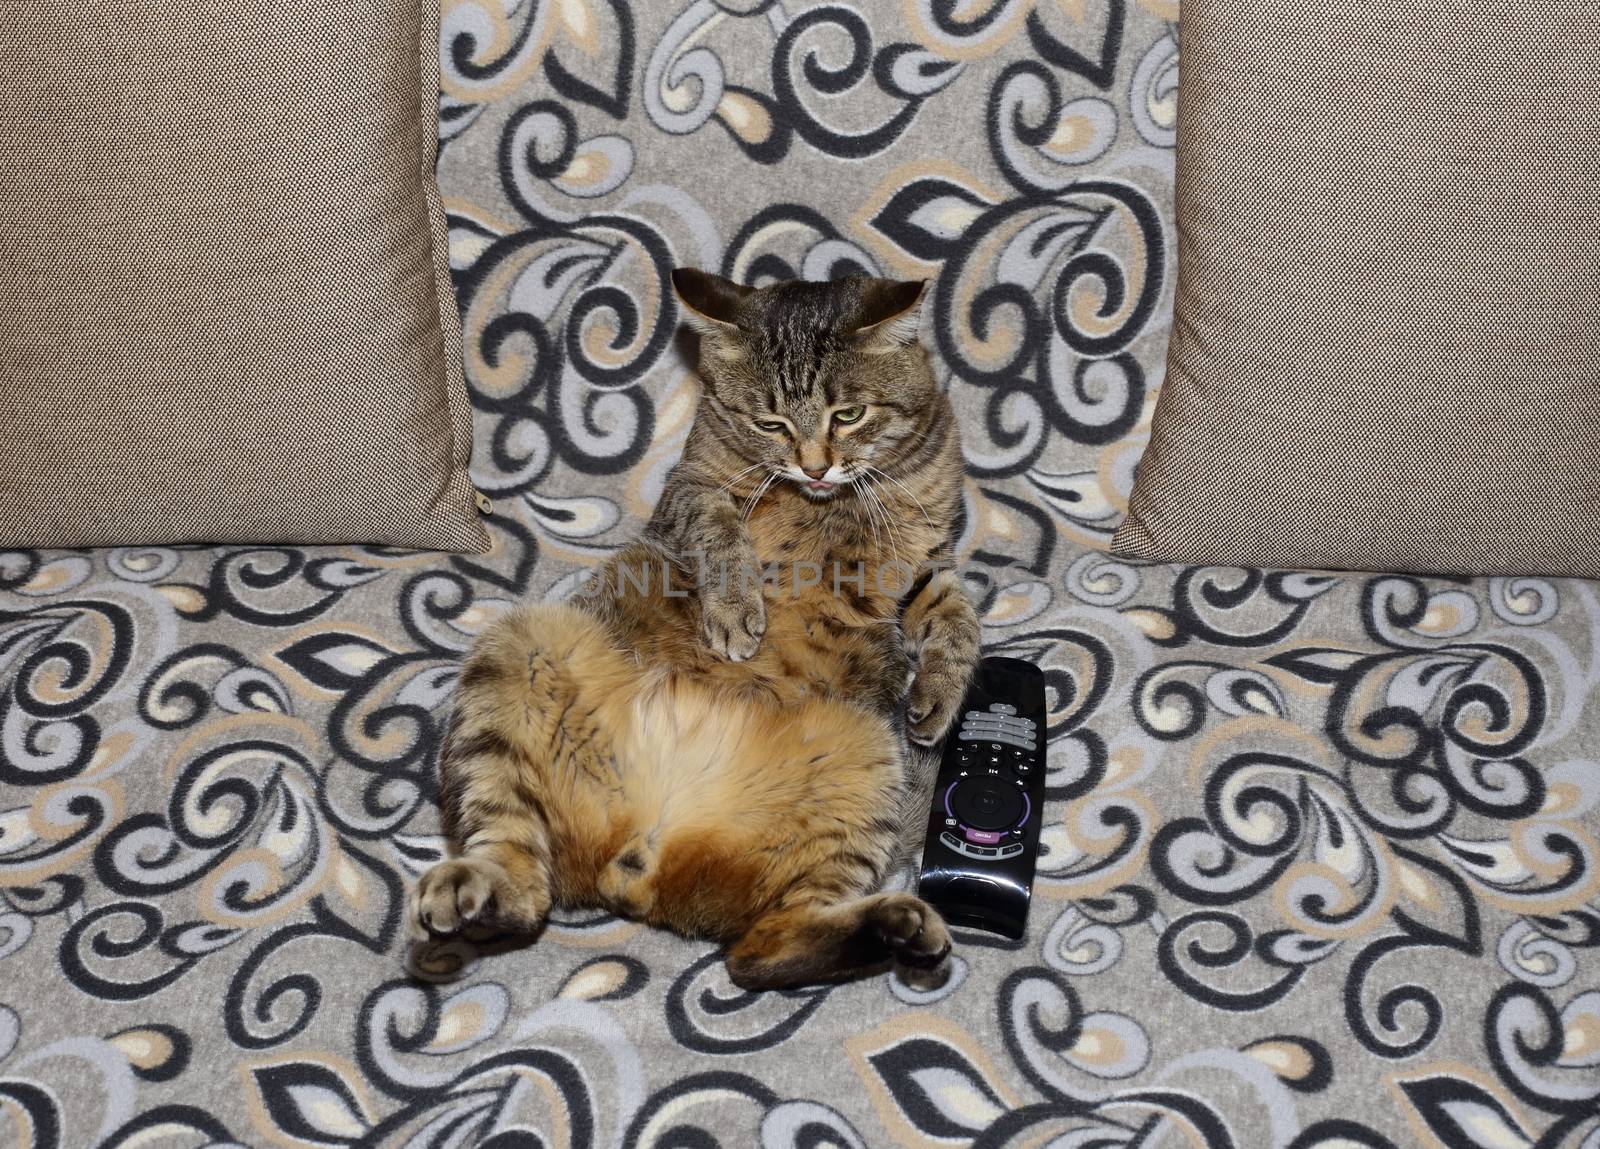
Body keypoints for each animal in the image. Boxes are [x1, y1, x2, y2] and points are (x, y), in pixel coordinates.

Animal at [406, 270, 979, 992]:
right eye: (771, 422)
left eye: (848, 415)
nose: (815, 465)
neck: (829, 503)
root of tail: (639, 857)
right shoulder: (691, 488)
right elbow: (720, 529)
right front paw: (735, 610)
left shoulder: (930, 560)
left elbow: (958, 620)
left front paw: (939, 697)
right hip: (512, 658)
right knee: (523, 871)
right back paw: (473, 892)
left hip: (867, 766)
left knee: (761, 948)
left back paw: (898, 928)